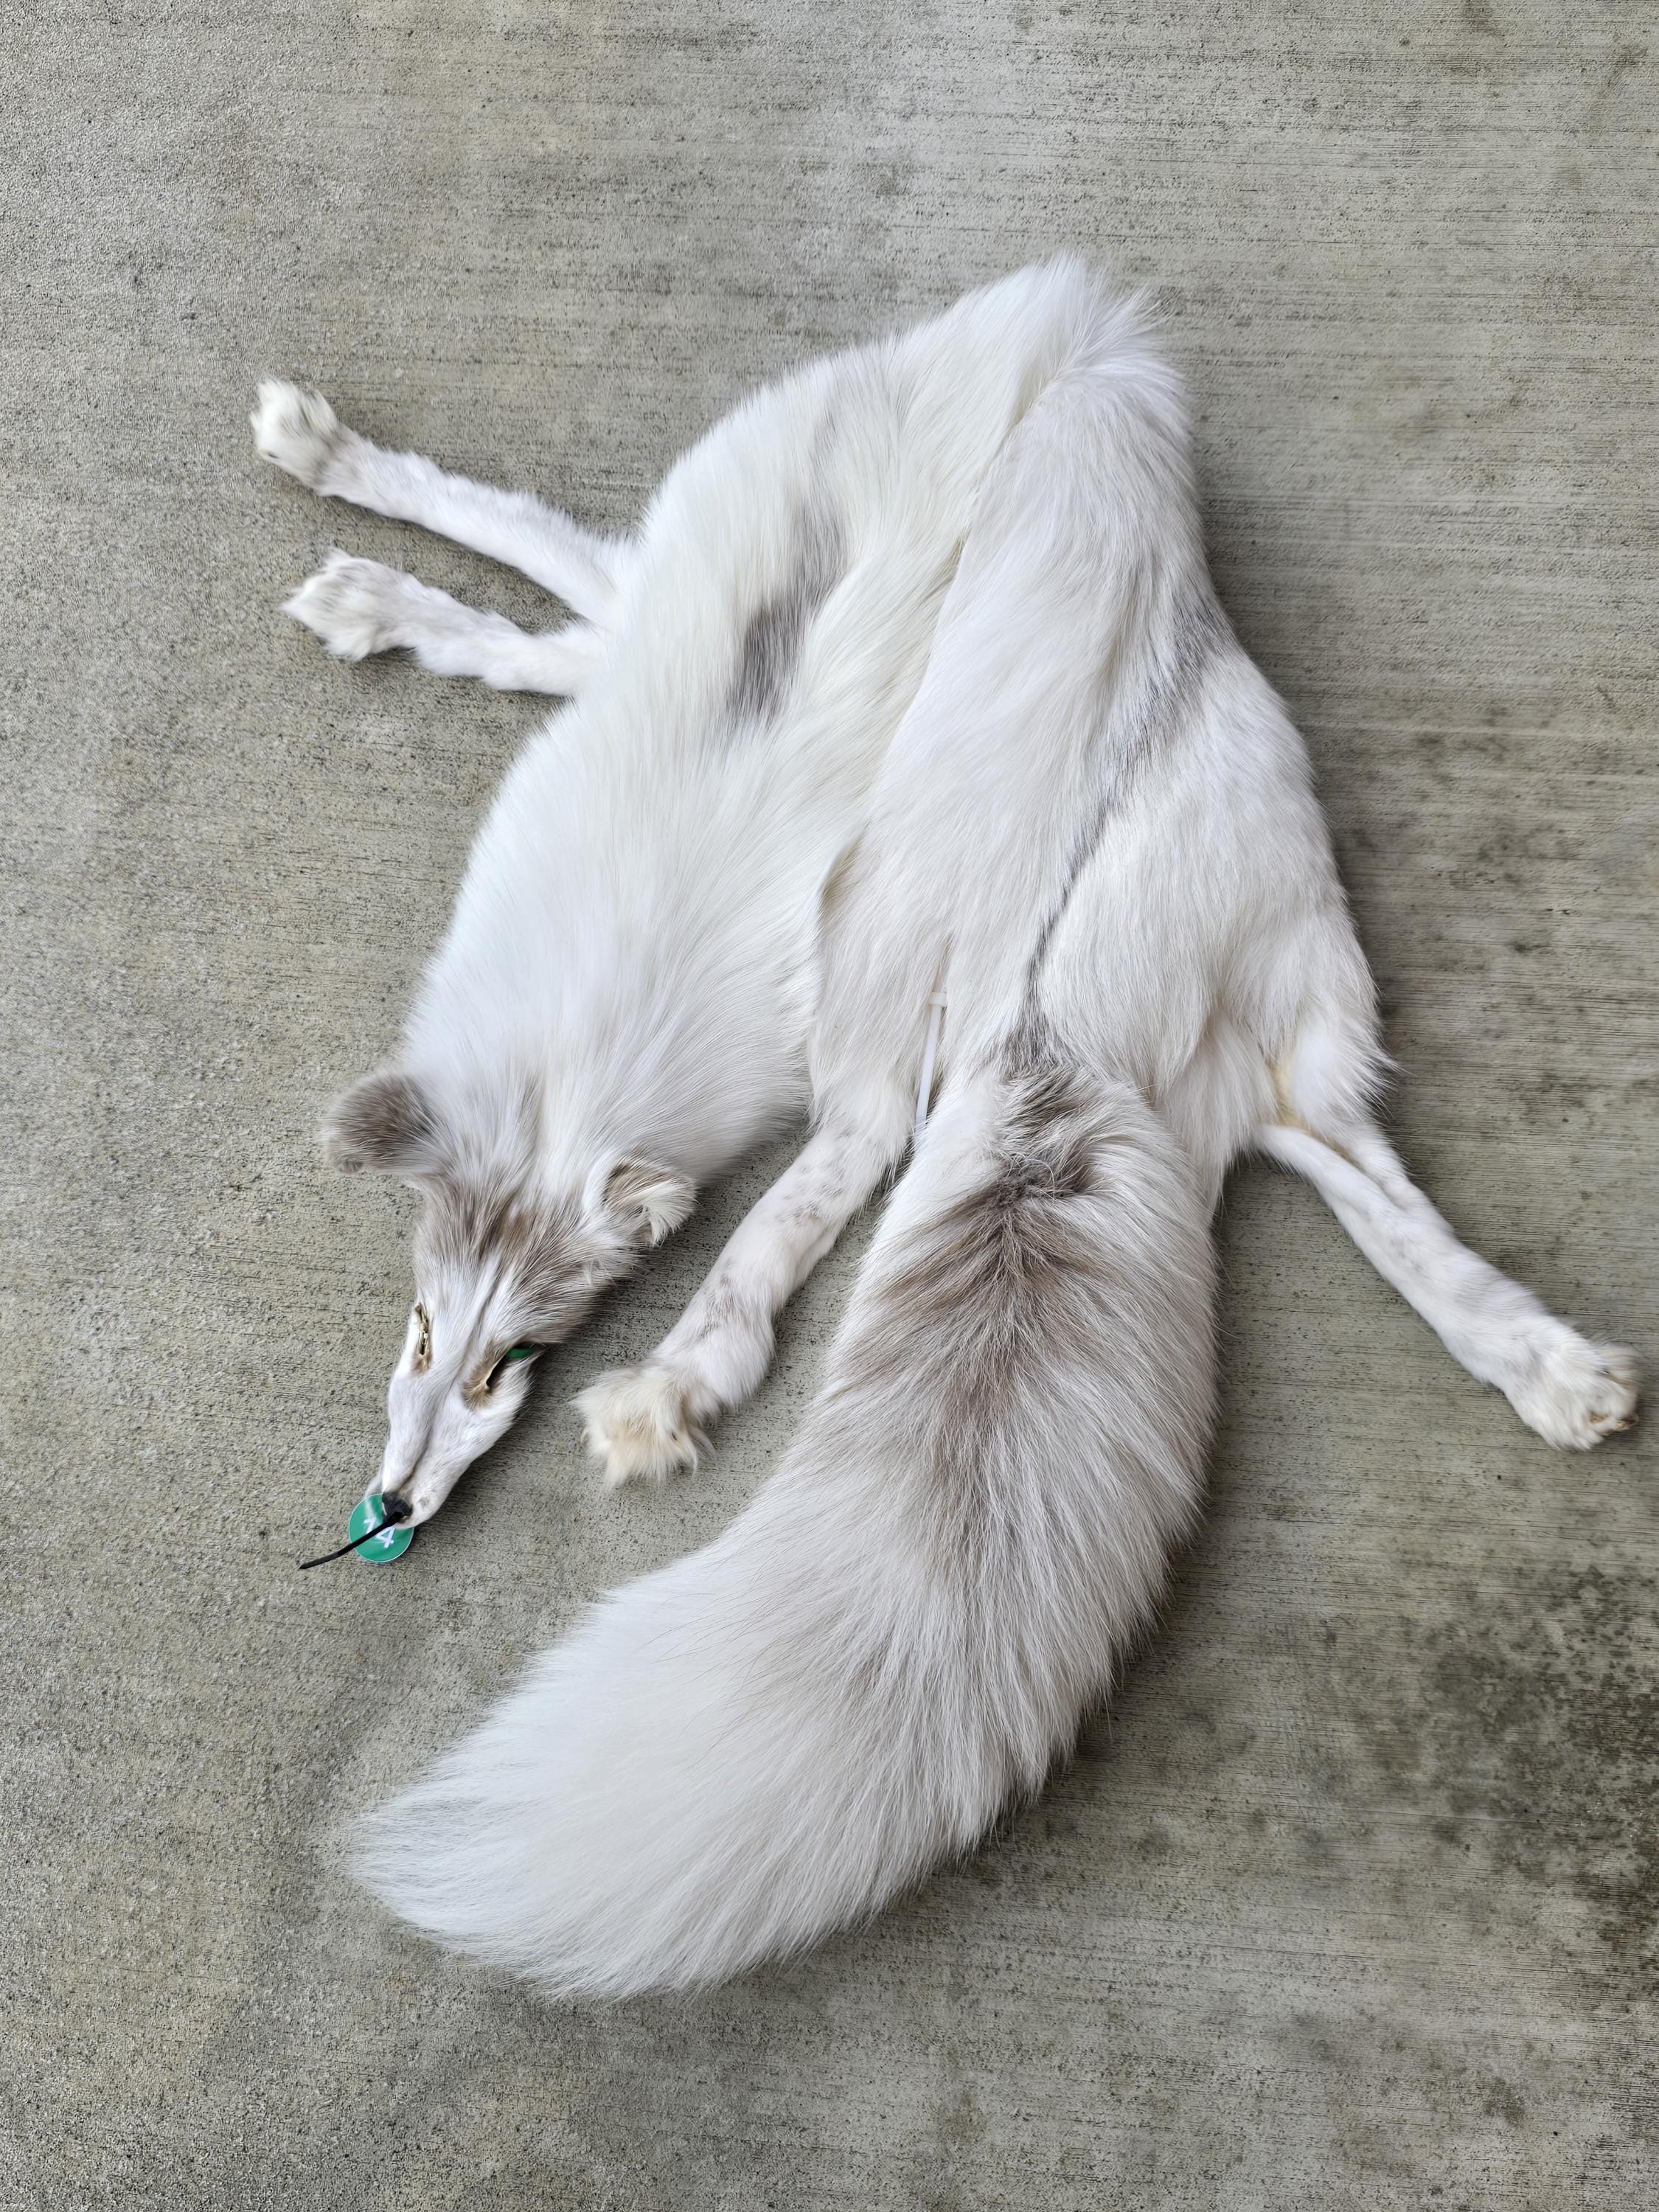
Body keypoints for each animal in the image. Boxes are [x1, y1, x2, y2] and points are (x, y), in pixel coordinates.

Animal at [255, 262, 1638, 1998]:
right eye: (429, 1335)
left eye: (499, 1361)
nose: (381, 1518)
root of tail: (1070, 1026)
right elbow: (541, 630)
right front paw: (369, 562)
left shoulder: (654, 594)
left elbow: (521, 590)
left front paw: (361, 542)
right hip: (1283, 1011)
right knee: (1359, 1174)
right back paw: (1555, 1370)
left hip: (883, 926)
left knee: (859, 1143)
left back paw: (676, 1383)